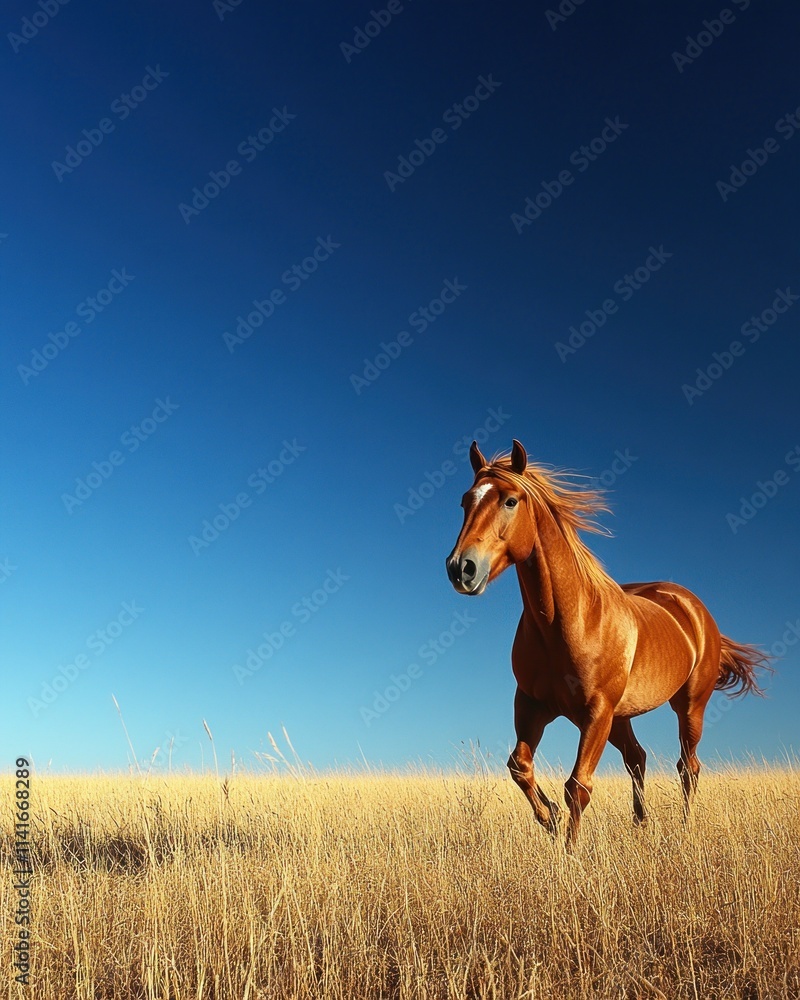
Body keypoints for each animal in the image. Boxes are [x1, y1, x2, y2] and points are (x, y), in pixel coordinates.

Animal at [445, 439, 771, 845]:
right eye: (465, 501)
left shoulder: (596, 712)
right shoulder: (533, 705)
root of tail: (693, 608)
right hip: (621, 717)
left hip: (689, 706)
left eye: (510, 500)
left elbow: (577, 787)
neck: (568, 622)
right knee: (637, 757)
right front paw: (550, 818)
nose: (461, 569)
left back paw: (684, 828)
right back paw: (640, 824)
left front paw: (569, 850)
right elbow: (519, 766)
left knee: (688, 766)